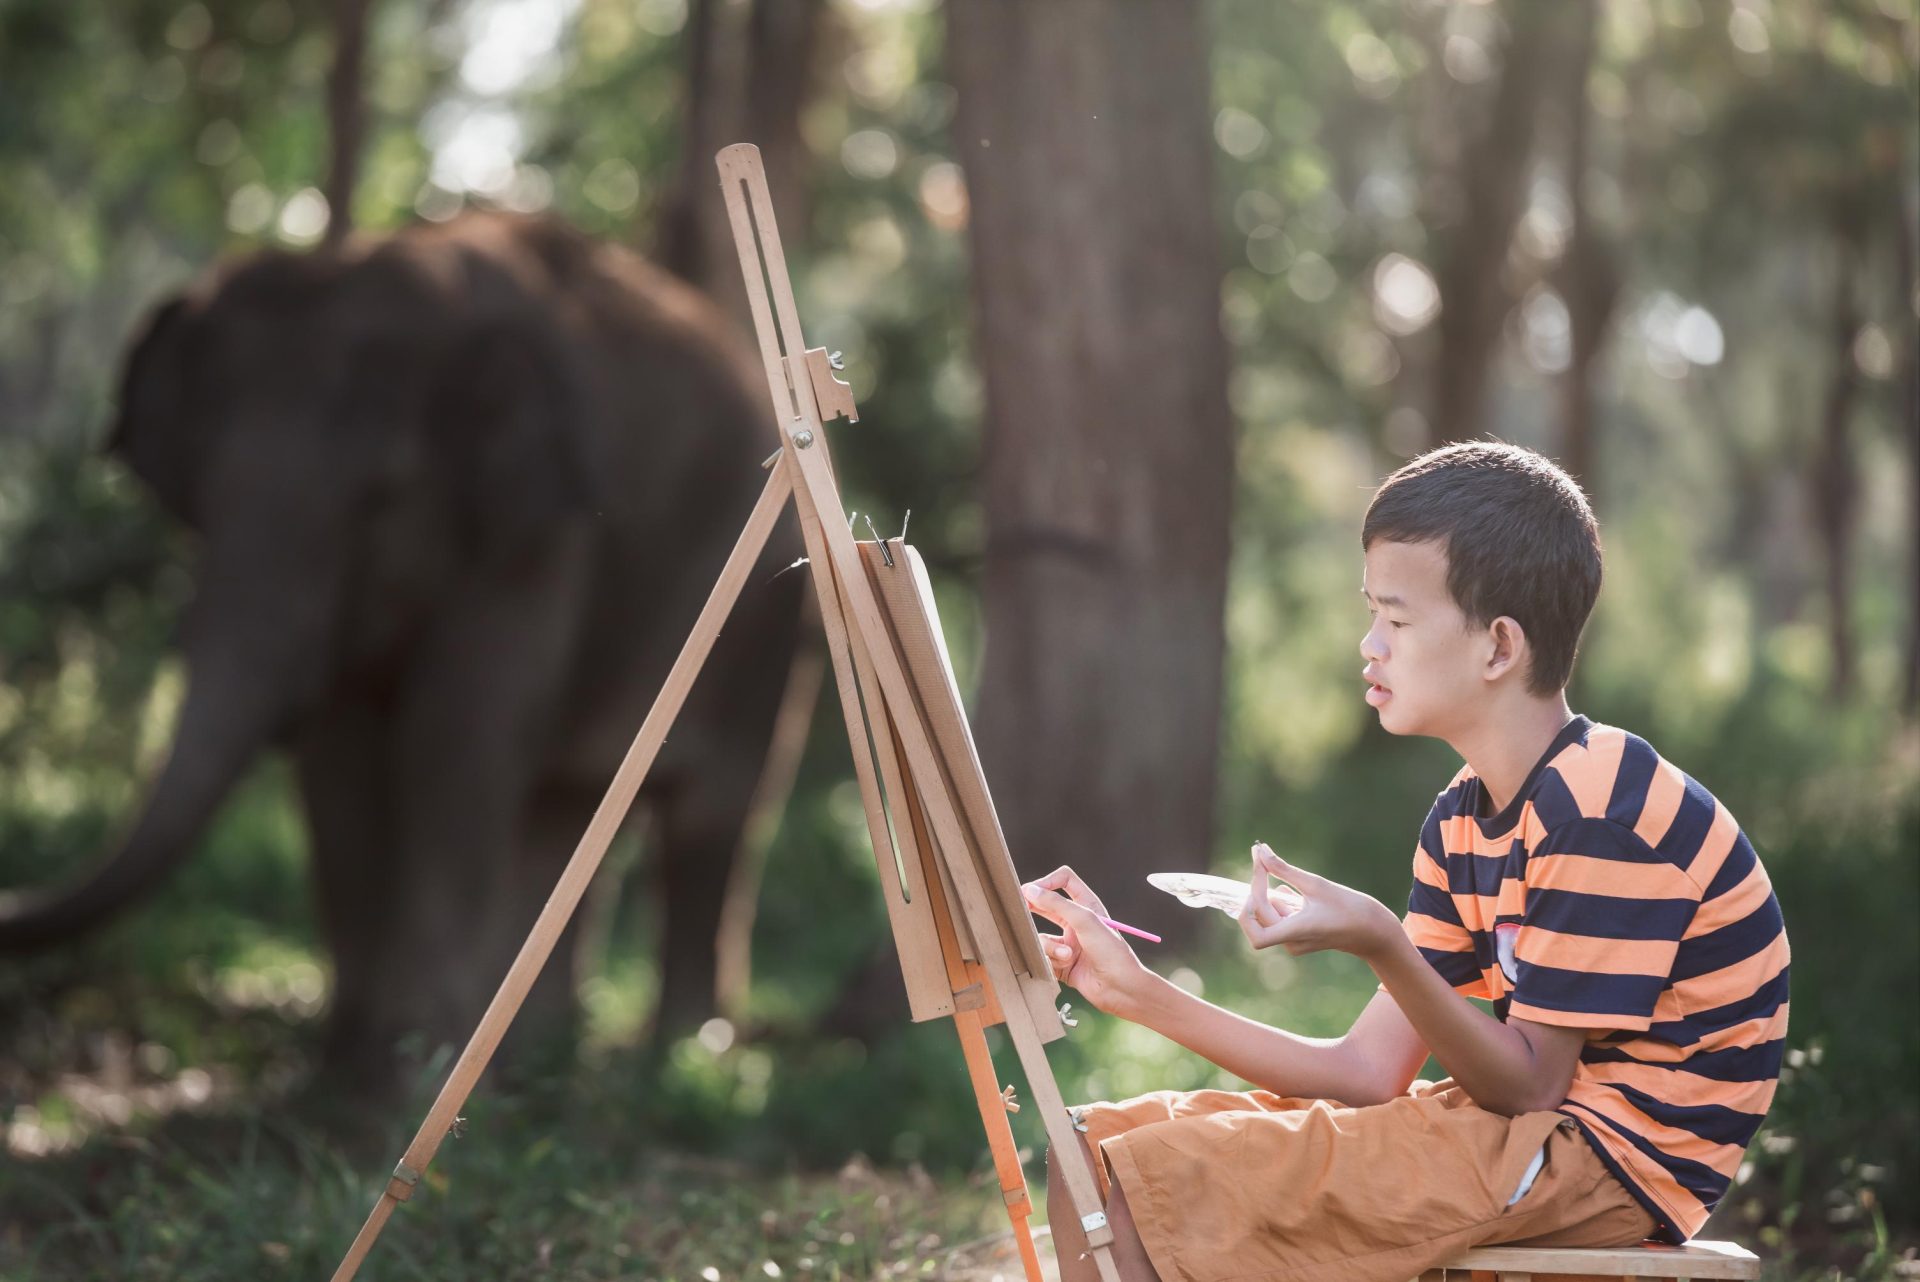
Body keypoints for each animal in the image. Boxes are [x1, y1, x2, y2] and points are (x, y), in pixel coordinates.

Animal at [0, 210, 806, 1090]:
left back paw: (685, 1061)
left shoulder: (540, 532)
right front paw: (349, 1072)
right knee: (567, 811)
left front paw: (401, 1077)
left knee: (712, 814)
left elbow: (453, 737)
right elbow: (341, 753)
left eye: (378, 500)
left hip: (766, 618)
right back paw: (533, 1059)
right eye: (200, 495)